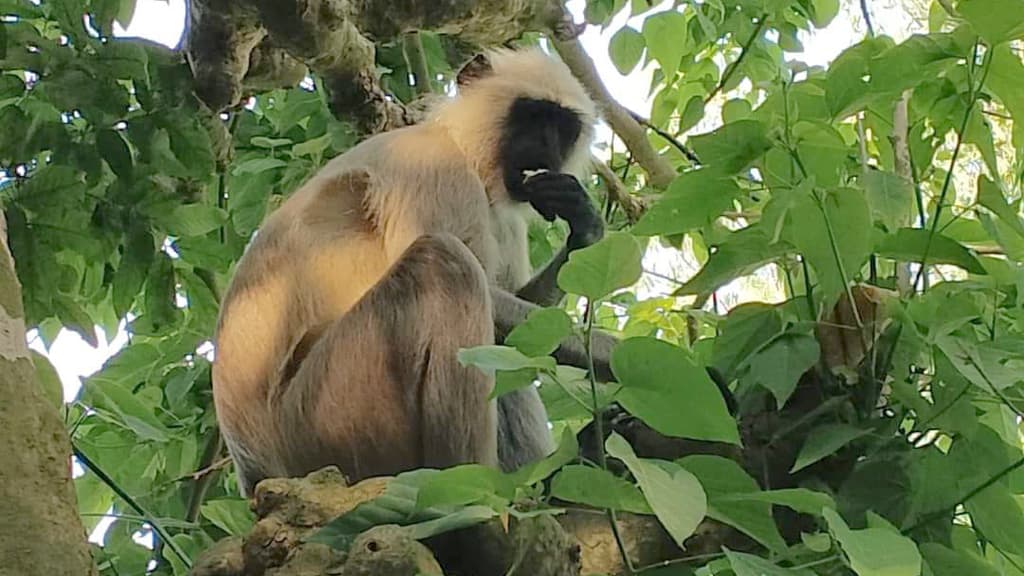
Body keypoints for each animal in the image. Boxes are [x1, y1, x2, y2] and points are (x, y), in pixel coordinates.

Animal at [210, 48, 610, 494]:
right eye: (533, 115)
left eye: (563, 128)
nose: (547, 145)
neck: (465, 149)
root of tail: (255, 471)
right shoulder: (432, 163)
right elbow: (492, 302)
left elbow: (529, 330)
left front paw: (584, 229)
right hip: (326, 418)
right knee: (447, 263)